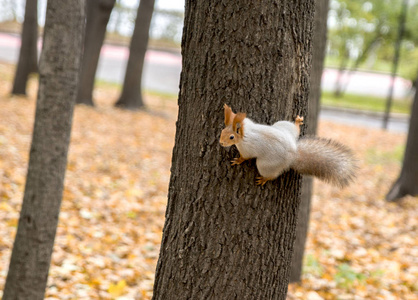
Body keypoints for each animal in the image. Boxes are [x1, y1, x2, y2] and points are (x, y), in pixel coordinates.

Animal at [219, 104, 356, 186]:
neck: (245, 133)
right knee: (295, 130)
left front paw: (238, 160)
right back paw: (297, 122)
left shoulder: (247, 148)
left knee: (272, 174)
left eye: (231, 137)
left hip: (266, 165)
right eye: (222, 131)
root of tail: (293, 154)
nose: (221, 142)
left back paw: (264, 179)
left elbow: (245, 157)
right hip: (283, 126)